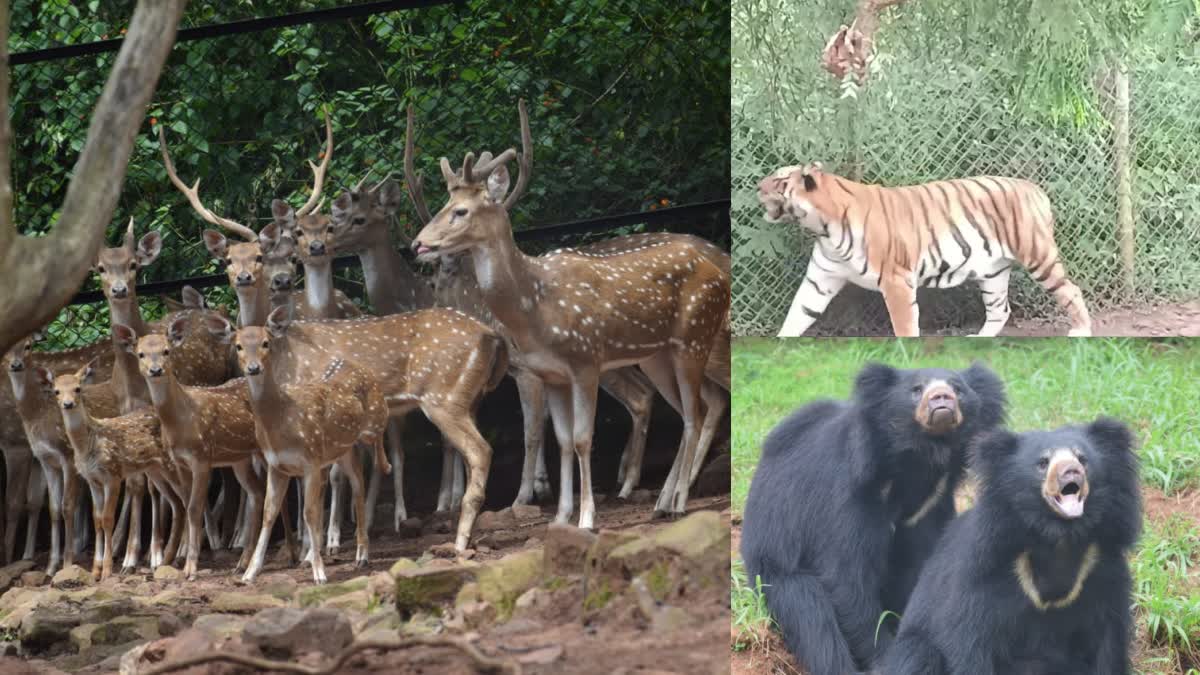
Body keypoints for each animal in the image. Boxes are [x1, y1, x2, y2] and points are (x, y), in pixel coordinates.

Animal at [204, 312, 386, 581]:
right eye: (238, 346)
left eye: (266, 342)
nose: (253, 368)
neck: (283, 419)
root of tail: (358, 366)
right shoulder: (277, 465)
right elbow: (270, 513)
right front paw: (249, 572)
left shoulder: (310, 460)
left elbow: (308, 512)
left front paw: (319, 573)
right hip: (341, 449)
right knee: (353, 482)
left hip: (372, 423)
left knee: (365, 473)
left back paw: (362, 555)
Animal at [412, 99, 729, 523]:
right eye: (444, 205)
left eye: (460, 211)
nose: (418, 244)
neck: (534, 309)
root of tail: (719, 270)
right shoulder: (551, 374)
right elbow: (562, 441)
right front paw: (561, 516)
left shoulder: (584, 361)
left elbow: (581, 439)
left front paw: (587, 517)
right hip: (657, 356)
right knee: (688, 411)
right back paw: (662, 500)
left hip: (695, 336)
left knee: (697, 411)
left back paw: (677, 501)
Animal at [739, 362, 1003, 672]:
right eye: (916, 390)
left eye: (958, 388)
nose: (942, 398)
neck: (917, 460)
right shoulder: (854, 494)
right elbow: (847, 579)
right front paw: (886, 658)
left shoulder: (931, 504)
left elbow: (928, 570)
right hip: (774, 570)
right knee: (812, 615)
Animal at [763, 163, 1094, 336]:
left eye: (780, 180)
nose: (757, 185)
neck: (823, 228)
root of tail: (1034, 188)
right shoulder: (820, 279)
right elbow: (797, 314)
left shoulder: (896, 280)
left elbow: (904, 326)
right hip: (993, 272)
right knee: (1000, 309)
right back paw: (979, 338)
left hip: (1038, 256)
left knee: (1071, 290)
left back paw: (1081, 331)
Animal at [878, 415, 1137, 672]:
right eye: (1043, 463)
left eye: (1082, 458)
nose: (1071, 471)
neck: (1058, 537)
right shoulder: (982, 578)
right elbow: (968, 642)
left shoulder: (1102, 572)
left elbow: (1108, 645)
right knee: (918, 652)